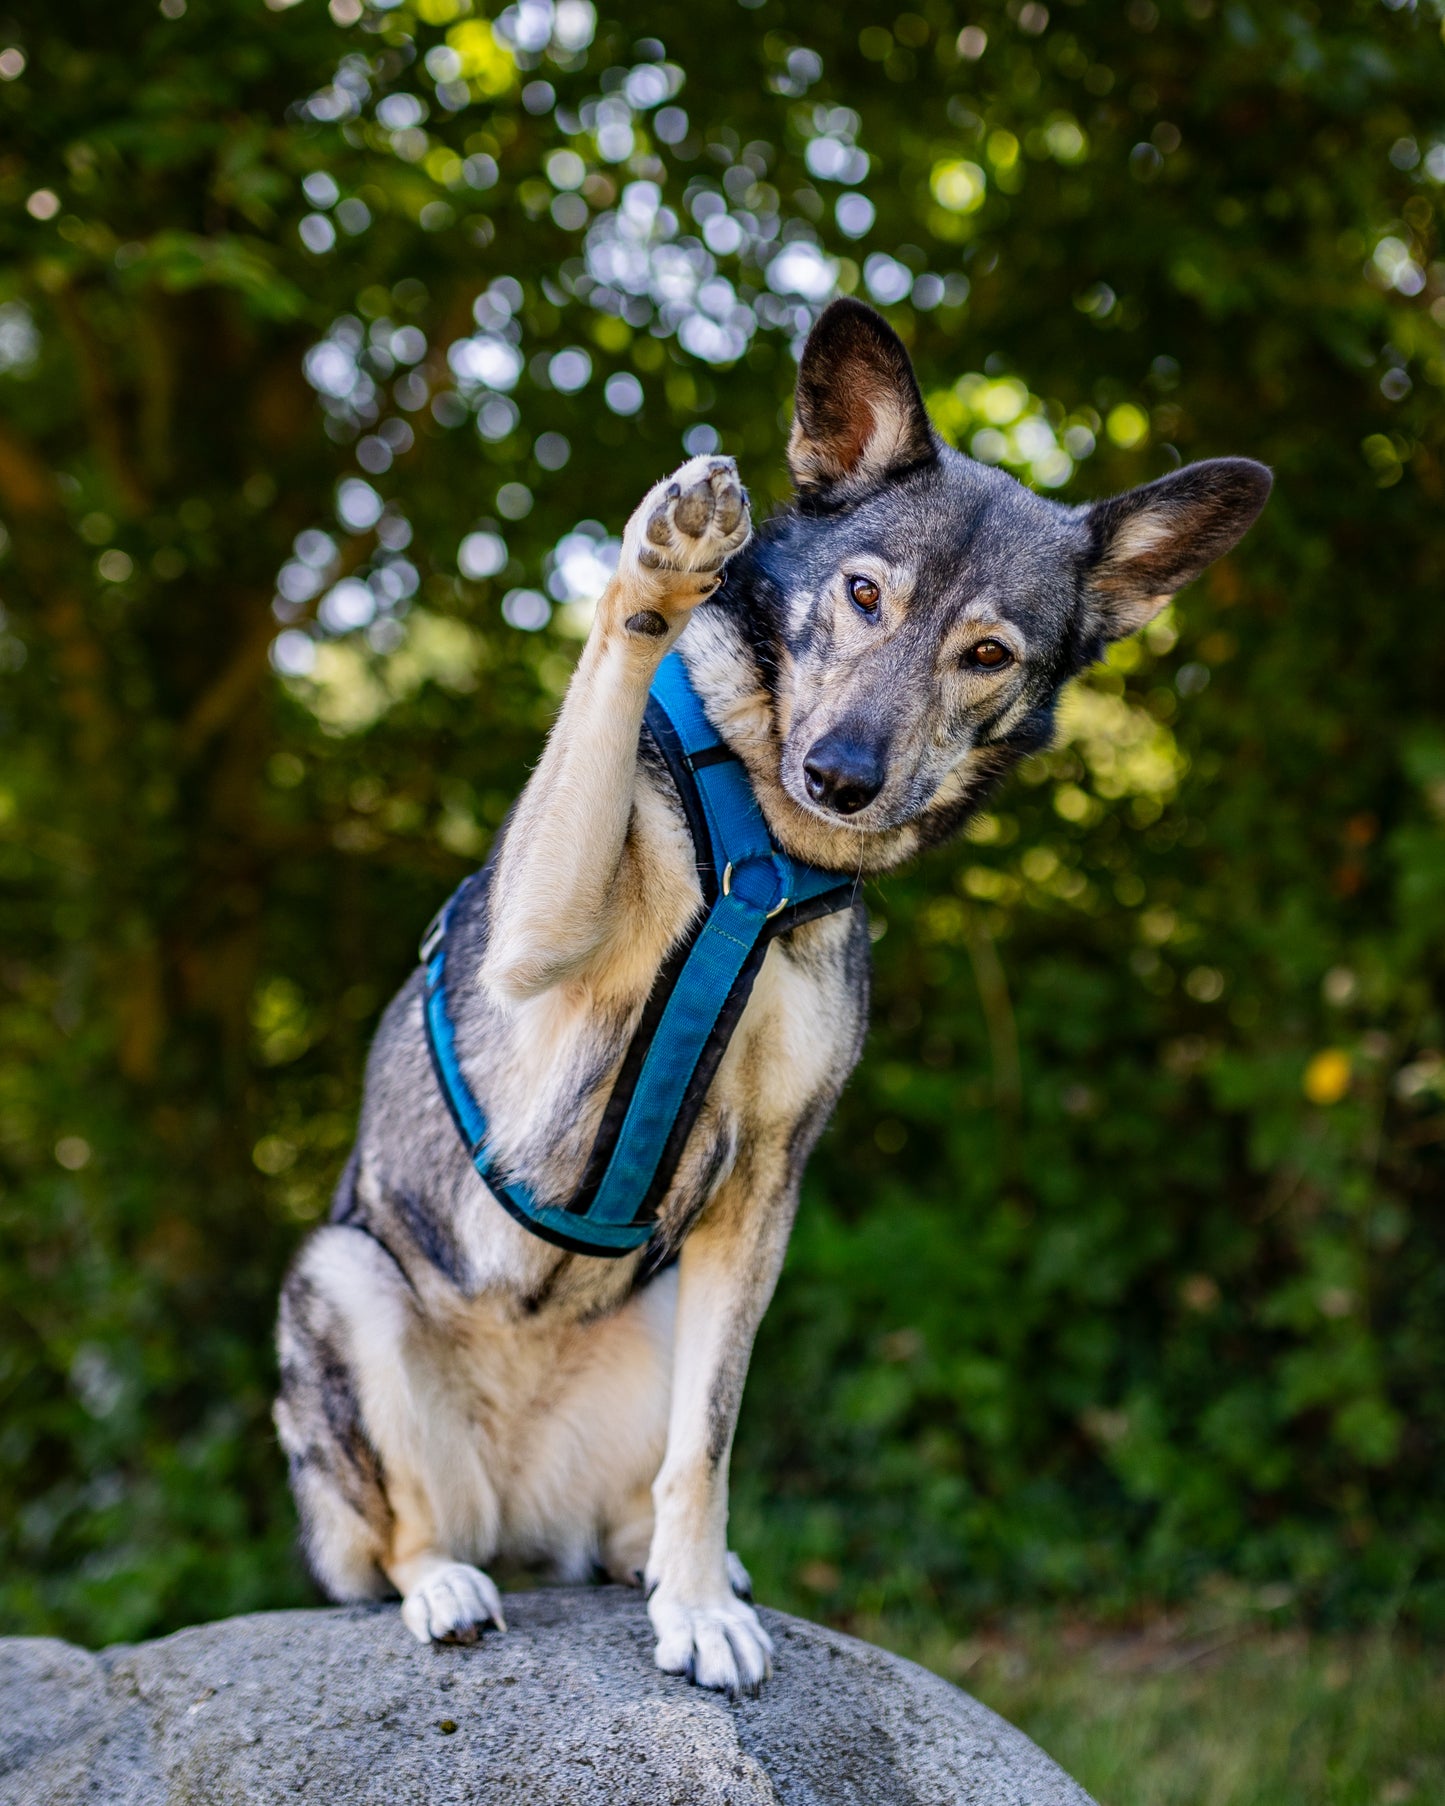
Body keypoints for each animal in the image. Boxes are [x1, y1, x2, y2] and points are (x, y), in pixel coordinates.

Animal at [276, 296, 1271, 1690]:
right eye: (860, 594)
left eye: (984, 653)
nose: (841, 775)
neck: (758, 851)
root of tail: (519, 1516)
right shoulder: (534, 943)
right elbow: (601, 698)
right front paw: (660, 564)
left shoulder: (761, 1190)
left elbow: (710, 1444)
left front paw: (695, 1608)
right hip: (342, 1284)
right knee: (408, 1535)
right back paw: (445, 1588)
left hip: (660, 1311)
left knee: (634, 1497)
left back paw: (652, 1561)